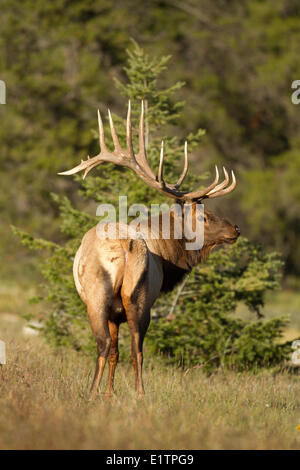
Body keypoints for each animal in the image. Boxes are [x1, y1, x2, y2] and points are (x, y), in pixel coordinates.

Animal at [59, 101, 239, 398]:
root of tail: (123, 247)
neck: (166, 256)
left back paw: (99, 392)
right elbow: (125, 351)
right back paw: (137, 394)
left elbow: (115, 353)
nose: (236, 229)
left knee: (108, 345)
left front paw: (108, 394)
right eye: (204, 216)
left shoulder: (113, 314)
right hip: (136, 298)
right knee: (135, 349)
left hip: (101, 297)